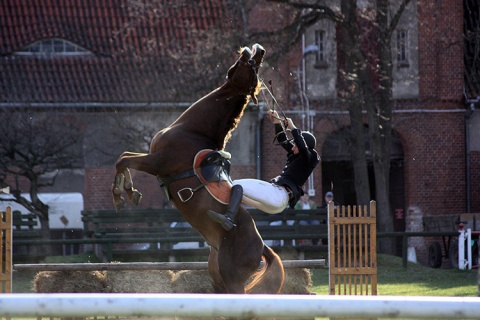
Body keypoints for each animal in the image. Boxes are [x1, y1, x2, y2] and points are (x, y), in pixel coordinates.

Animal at [111, 43, 284, 294]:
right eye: (255, 69)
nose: (259, 50)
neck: (191, 130)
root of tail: (262, 247)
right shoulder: (152, 158)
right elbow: (123, 157)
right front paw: (129, 192)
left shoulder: (157, 162)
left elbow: (122, 161)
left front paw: (123, 194)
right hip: (218, 277)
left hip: (233, 279)